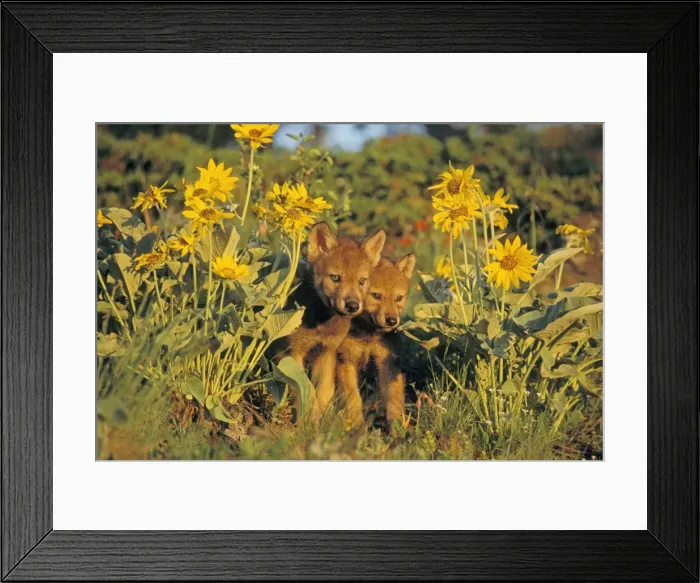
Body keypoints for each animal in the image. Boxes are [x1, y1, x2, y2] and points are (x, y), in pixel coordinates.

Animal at [282, 222, 386, 420]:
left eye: (362, 281)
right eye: (335, 278)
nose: (352, 305)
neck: (321, 325)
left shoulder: (327, 351)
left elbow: (324, 391)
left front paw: (325, 422)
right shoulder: (293, 351)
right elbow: (306, 390)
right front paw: (308, 423)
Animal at [335, 253, 416, 428]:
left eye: (398, 298)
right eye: (376, 295)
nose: (392, 321)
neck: (369, 336)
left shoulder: (388, 361)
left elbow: (394, 399)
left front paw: (398, 427)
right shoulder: (346, 360)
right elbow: (353, 398)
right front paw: (357, 425)